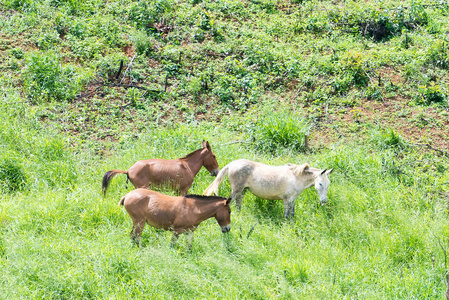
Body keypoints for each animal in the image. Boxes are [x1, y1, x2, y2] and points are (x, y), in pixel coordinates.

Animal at [204, 159, 332, 218]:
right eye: (320, 184)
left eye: (328, 184)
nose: (324, 201)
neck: (296, 177)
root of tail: (231, 164)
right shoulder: (286, 200)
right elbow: (286, 214)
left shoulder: (293, 200)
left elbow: (292, 214)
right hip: (237, 190)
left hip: (242, 190)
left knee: (238, 204)